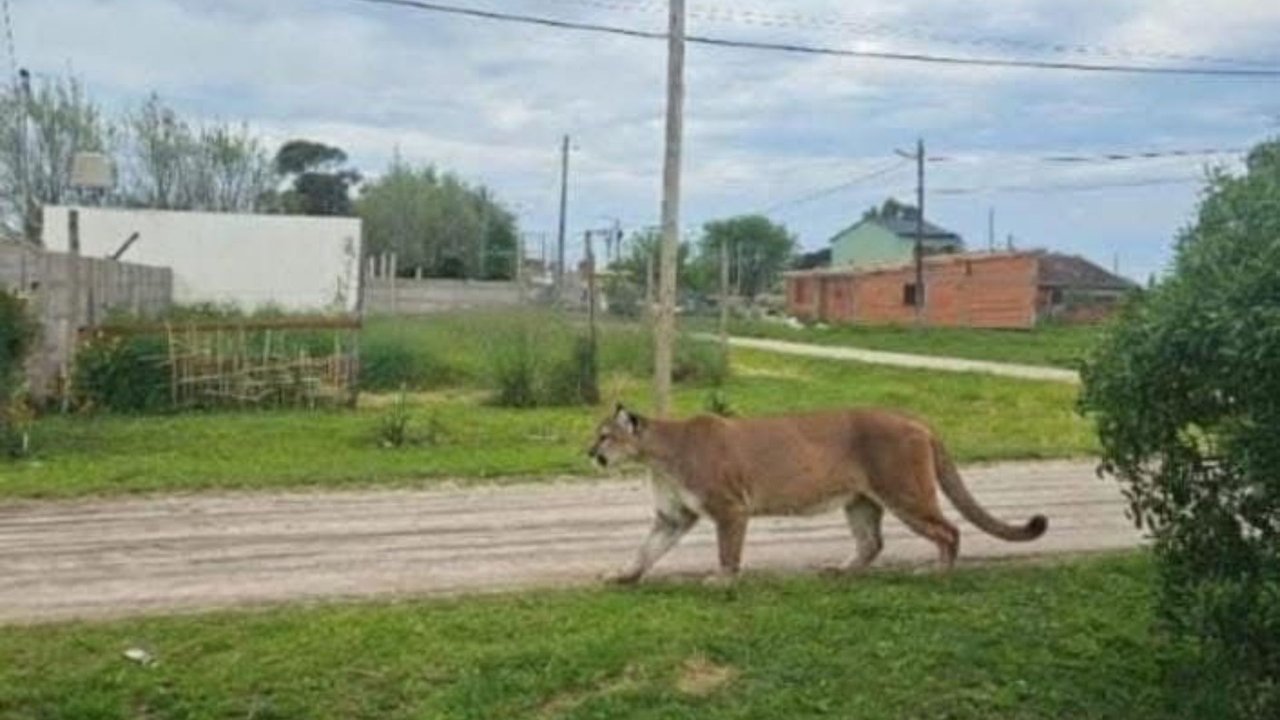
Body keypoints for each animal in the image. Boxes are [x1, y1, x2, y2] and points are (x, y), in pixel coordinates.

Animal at [587, 404, 1047, 585]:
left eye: (605, 435)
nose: (590, 453)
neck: (658, 457)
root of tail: (915, 418)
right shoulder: (673, 518)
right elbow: (646, 549)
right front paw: (623, 576)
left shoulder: (730, 509)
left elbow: (727, 549)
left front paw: (721, 580)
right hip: (861, 502)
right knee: (871, 543)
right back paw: (840, 570)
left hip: (905, 494)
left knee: (948, 530)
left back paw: (937, 572)